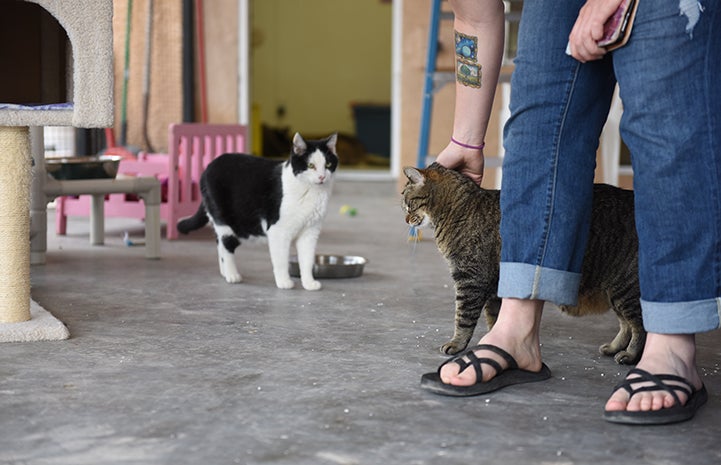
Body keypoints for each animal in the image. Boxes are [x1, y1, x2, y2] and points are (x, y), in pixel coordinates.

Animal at [179, 132, 338, 288]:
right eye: (311, 165)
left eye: (328, 164)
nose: (322, 176)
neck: (312, 192)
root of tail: (208, 167)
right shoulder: (278, 231)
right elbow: (281, 259)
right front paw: (284, 282)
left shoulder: (310, 232)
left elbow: (307, 259)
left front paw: (309, 283)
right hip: (224, 220)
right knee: (226, 244)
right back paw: (232, 275)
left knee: (219, 243)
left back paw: (224, 272)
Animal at [402, 161, 644, 364]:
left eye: (408, 204)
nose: (405, 219)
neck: (456, 211)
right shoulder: (494, 287)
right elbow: (495, 318)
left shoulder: (470, 280)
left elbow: (463, 317)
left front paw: (456, 343)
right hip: (616, 292)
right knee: (626, 324)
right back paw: (614, 347)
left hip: (627, 289)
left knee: (640, 327)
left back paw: (630, 355)